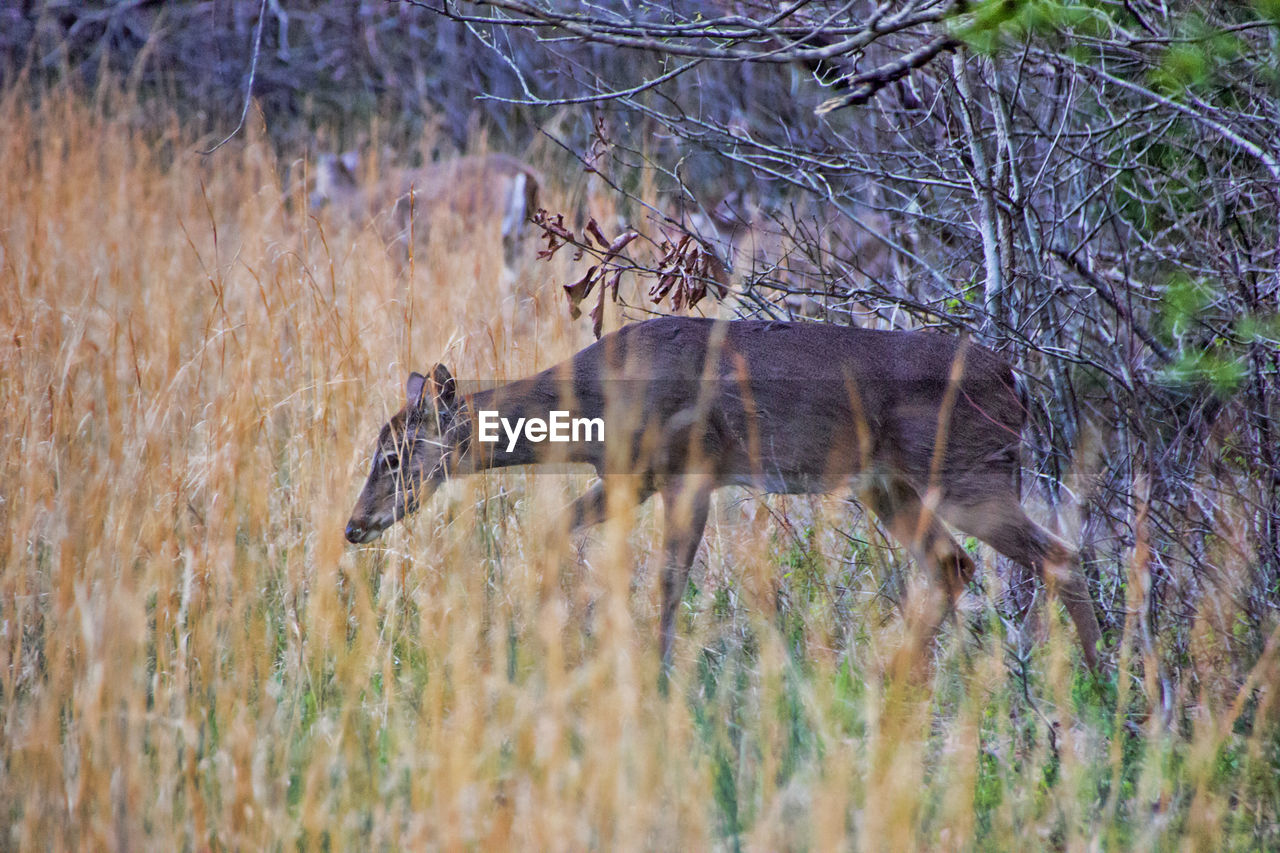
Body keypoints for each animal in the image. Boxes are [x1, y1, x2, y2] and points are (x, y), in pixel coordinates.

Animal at [314, 149, 545, 262]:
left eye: (317, 176)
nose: (314, 200)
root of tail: (526, 174)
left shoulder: (395, 242)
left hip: (488, 228)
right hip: (520, 235)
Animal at [345, 315, 1105, 676]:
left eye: (391, 457)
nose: (354, 525)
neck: (593, 399)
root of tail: (1015, 379)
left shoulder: (691, 468)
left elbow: (668, 581)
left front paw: (656, 676)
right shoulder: (631, 477)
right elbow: (557, 531)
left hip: (968, 473)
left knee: (1058, 555)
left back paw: (1103, 687)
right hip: (888, 484)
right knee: (956, 564)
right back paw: (896, 675)